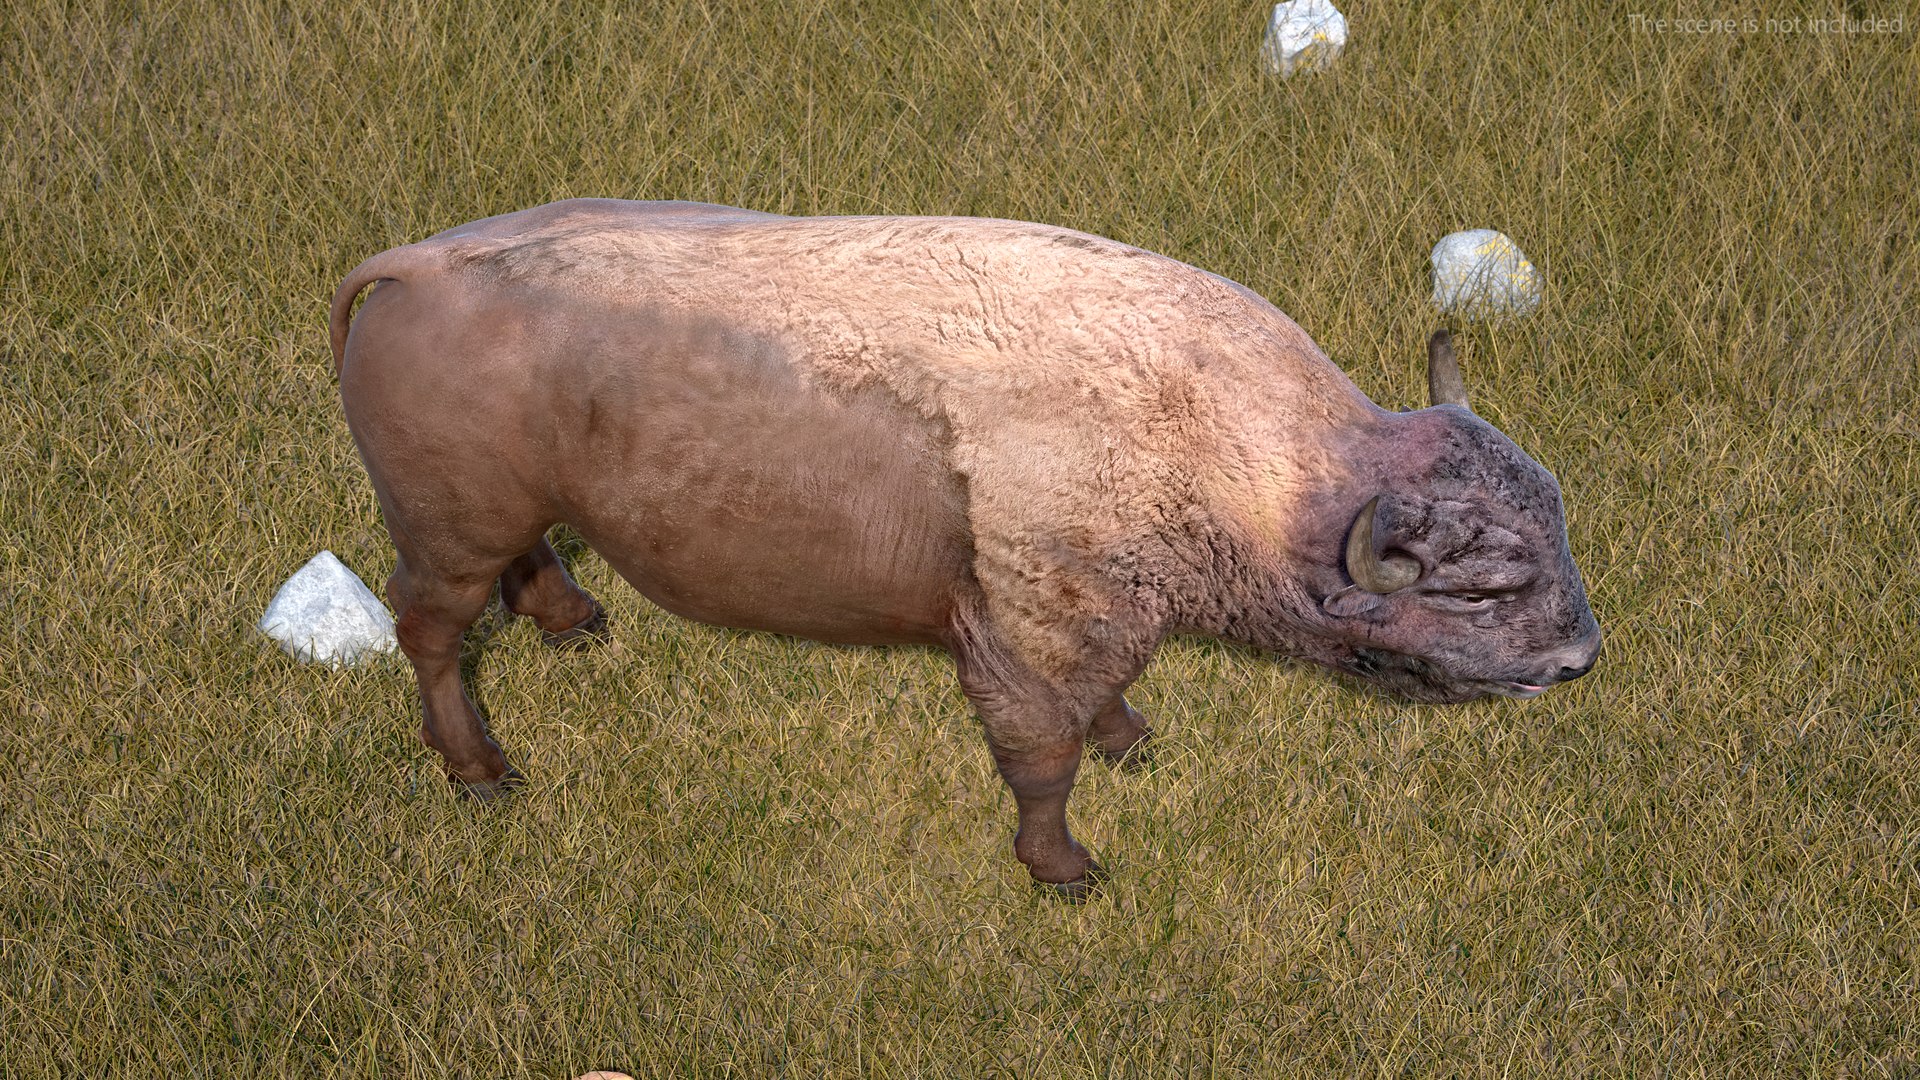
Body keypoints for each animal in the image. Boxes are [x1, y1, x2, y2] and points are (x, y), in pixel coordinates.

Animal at [329, 199, 1601, 897]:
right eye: (1480, 588)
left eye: (1557, 521)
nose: (1579, 659)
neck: (1245, 458)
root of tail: (413, 264)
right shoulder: (1028, 639)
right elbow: (1043, 761)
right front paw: (1067, 873)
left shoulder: (1101, 624)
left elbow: (1105, 709)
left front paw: (1137, 745)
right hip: (445, 537)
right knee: (429, 633)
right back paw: (484, 771)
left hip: (508, 512)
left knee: (525, 564)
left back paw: (577, 623)